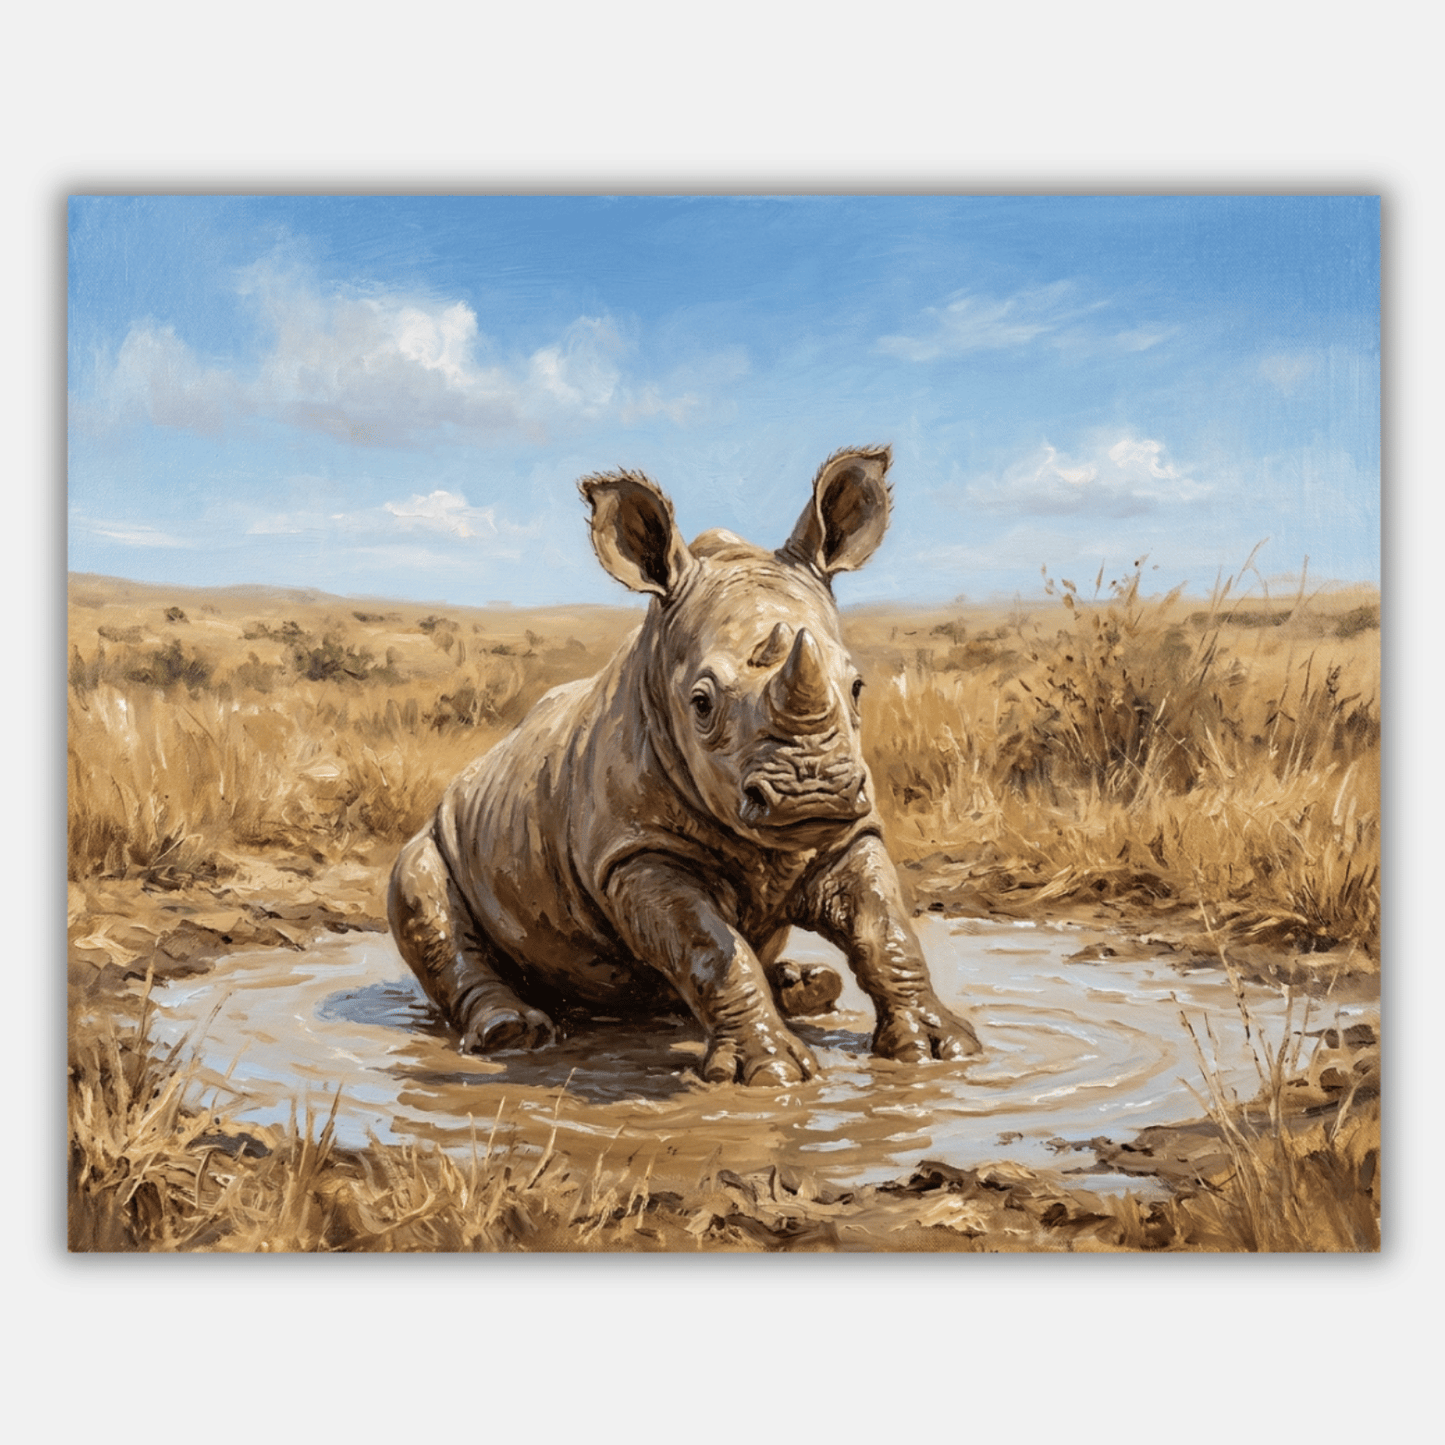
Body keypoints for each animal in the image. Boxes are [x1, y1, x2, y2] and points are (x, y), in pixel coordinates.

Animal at [388, 446, 980, 1085]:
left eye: (857, 687)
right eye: (700, 703)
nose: (813, 792)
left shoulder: (848, 833)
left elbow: (884, 926)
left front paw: (940, 1048)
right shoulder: (635, 851)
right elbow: (710, 947)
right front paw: (770, 1074)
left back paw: (807, 988)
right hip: (440, 832)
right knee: (423, 893)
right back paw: (512, 1034)